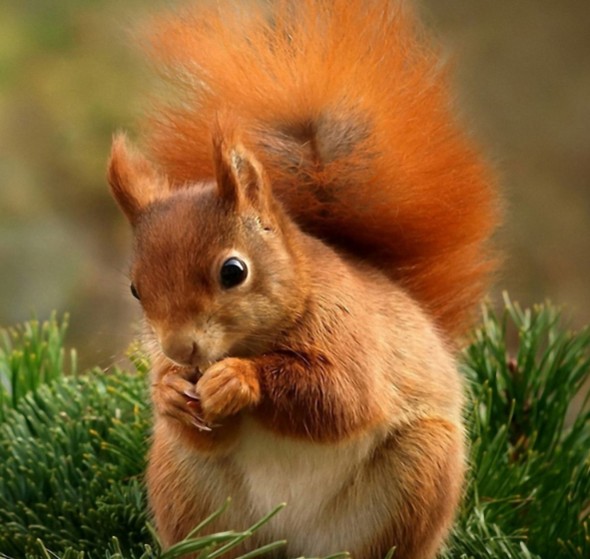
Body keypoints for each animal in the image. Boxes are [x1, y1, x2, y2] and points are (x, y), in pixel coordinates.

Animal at [105, 1, 500, 559]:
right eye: (136, 289)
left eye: (234, 271)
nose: (180, 350)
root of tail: (290, 541)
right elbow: (205, 427)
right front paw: (168, 392)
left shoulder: (351, 335)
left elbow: (339, 397)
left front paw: (239, 379)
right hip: (185, 483)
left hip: (419, 472)